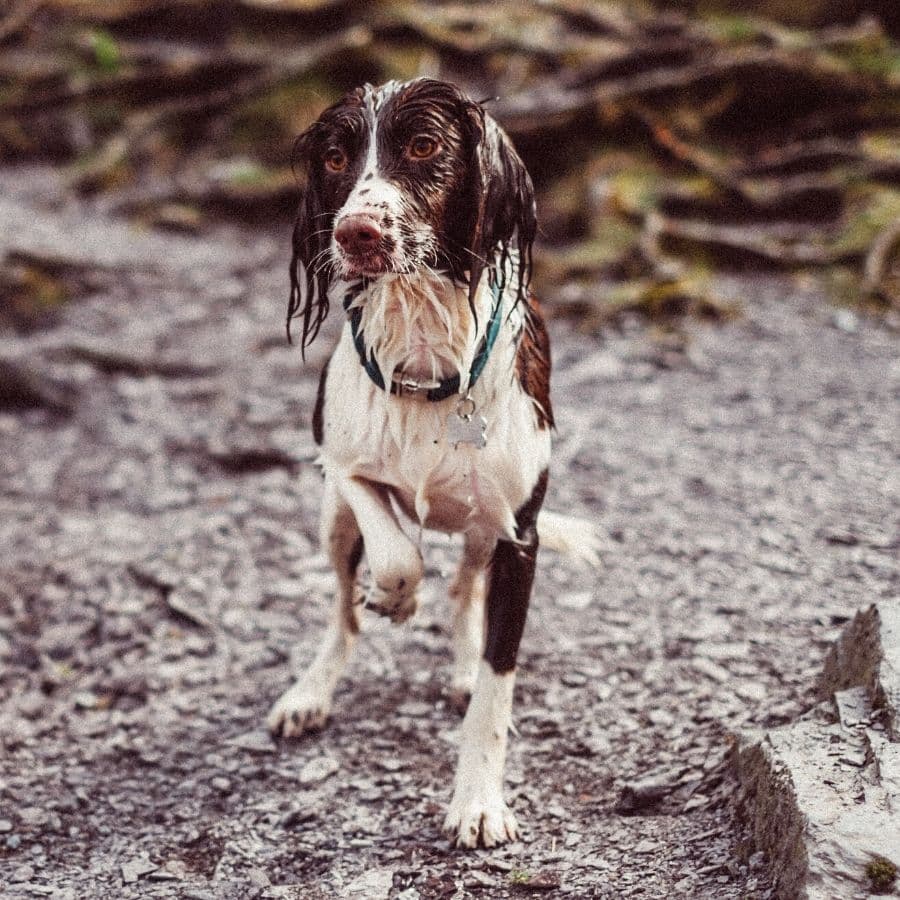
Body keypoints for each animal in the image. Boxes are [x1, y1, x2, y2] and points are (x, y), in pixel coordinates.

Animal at [264, 79, 596, 852]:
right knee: (343, 611)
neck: (423, 356)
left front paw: (477, 802)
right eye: (334, 157)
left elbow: (498, 688)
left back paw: (460, 661)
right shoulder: (338, 463)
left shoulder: (519, 536)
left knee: (465, 590)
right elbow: (395, 551)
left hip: (482, 532)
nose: (356, 233)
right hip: (331, 525)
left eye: (422, 146)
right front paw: (396, 596)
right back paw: (312, 689)